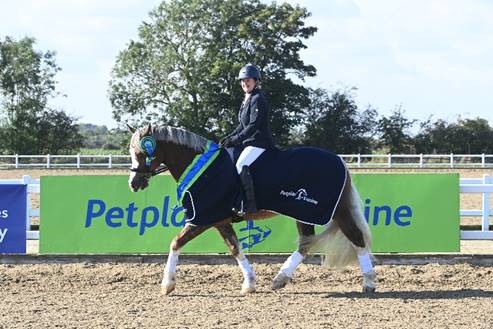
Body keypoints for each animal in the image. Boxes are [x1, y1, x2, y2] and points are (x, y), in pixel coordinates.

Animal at [129, 124, 374, 294]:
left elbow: (175, 243)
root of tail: (340, 161)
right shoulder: (220, 221)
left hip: (334, 211)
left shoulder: (202, 219)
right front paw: (249, 283)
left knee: (356, 237)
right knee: (306, 243)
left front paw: (167, 285)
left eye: (142, 153)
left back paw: (369, 283)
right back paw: (280, 279)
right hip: (304, 213)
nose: (133, 183)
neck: (200, 167)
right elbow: (235, 248)